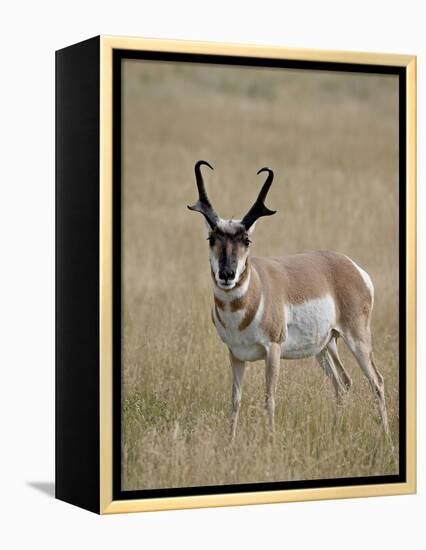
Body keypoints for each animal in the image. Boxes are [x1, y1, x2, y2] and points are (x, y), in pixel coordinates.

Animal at [188, 160, 392, 444]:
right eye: (212, 239)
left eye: (246, 240)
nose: (227, 274)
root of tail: (351, 266)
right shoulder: (236, 355)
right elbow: (235, 400)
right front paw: (230, 443)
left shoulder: (272, 350)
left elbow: (269, 400)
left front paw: (270, 443)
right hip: (325, 346)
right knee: (343, 383)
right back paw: (335, 433)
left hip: (357, 339)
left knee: (377, 381)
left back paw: (388, 441)